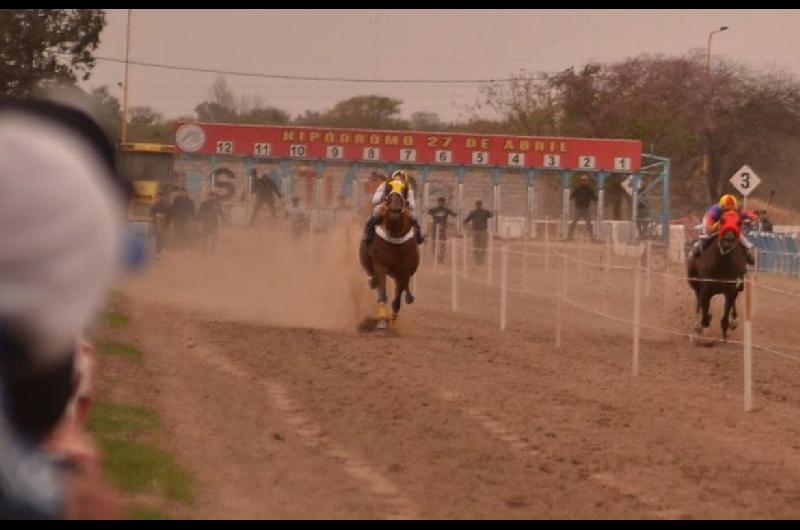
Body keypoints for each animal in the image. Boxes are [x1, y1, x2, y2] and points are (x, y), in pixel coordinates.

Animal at [356, 190, 418, 330]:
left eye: (403, 193)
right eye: (388, 195)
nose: (395, 210)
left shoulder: (404, 272)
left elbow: (397, 301)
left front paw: (392, 324)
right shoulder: (380, 267)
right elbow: (383, 294)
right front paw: (382, 322)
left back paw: (409, 297)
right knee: (373, 278)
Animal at [684, 208, 748, 340]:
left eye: (739, 222)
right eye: (722, 220)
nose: (729, 239)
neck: (722, 265)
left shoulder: (731, 290)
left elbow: (726, 313)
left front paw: (726, 330)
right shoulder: (705, 290)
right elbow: (704, 312)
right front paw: (702, 324)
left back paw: (733, 321)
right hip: (694, 283)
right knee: (698, 301)